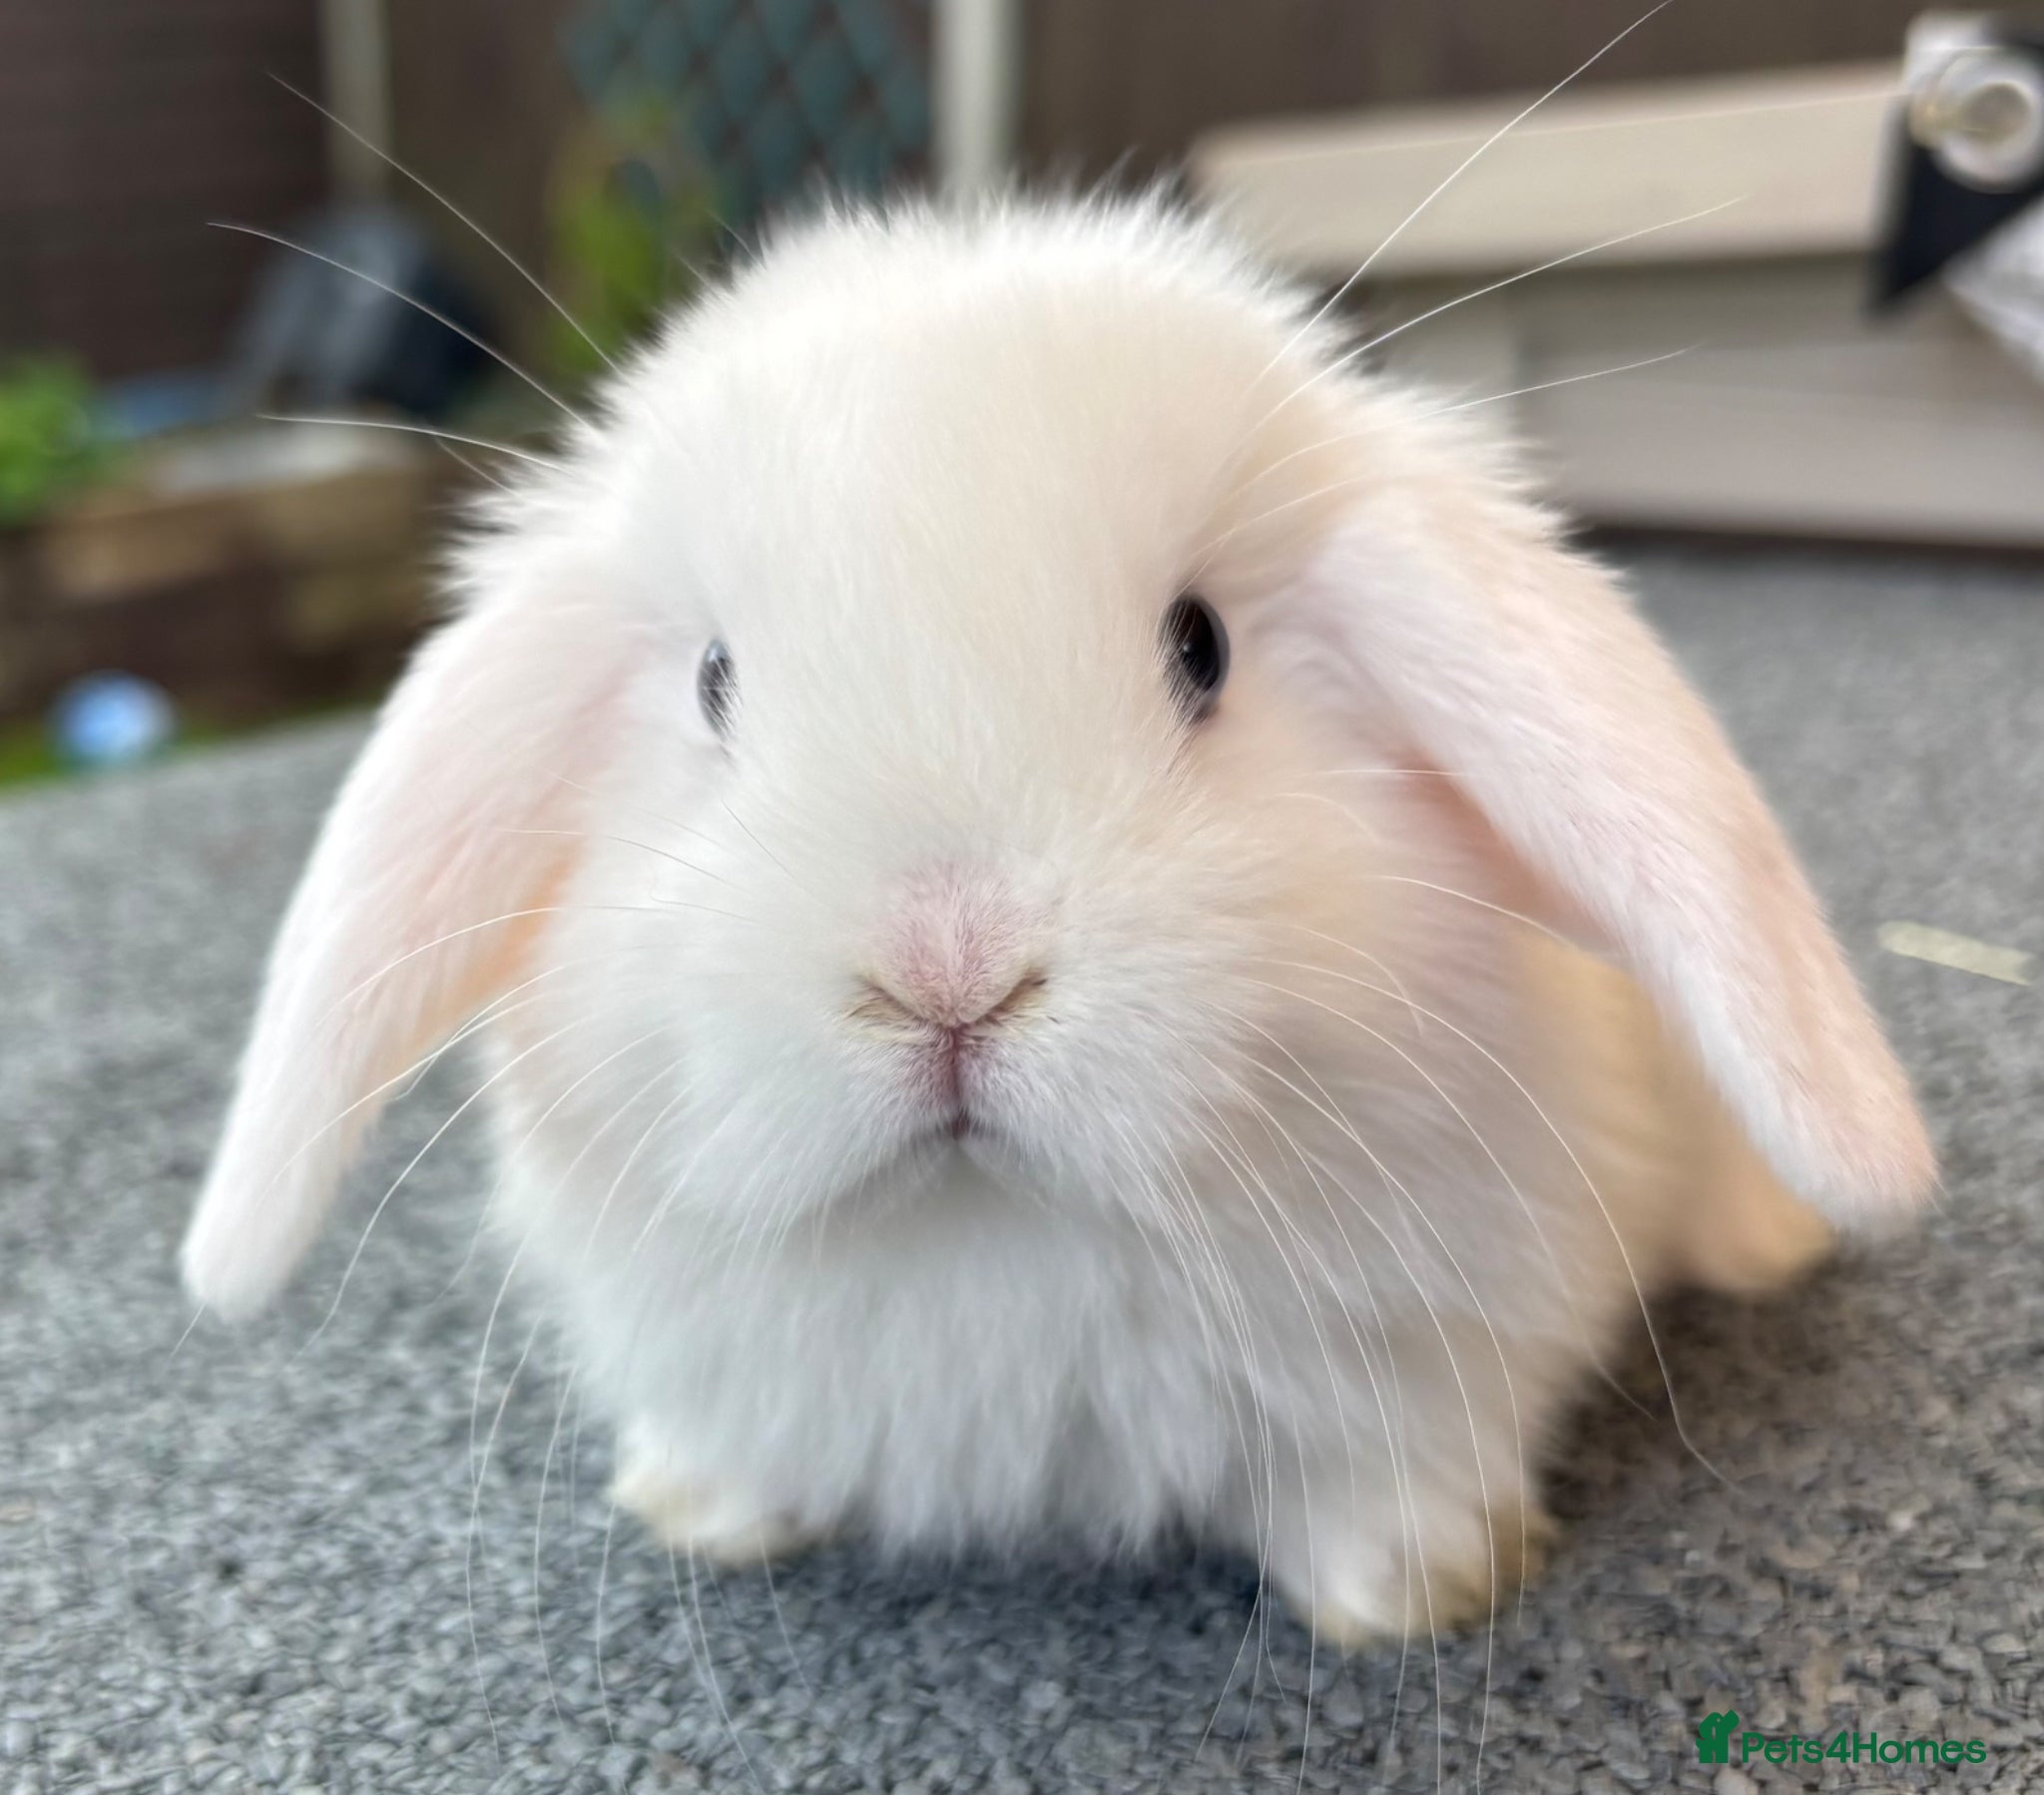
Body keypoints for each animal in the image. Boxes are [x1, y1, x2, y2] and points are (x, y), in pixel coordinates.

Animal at [181, 196, 1932, 1644]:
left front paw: (1404, 1597)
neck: (1000, 1232)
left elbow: (1390, 1482)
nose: (946, 970)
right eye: (716, 681)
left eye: (1201, 645)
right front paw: (703, 1514)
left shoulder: (1438, 1360)